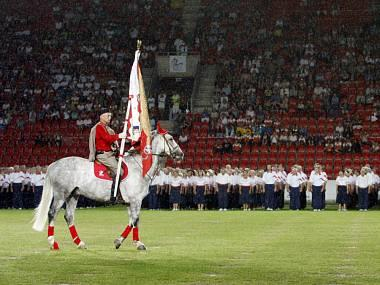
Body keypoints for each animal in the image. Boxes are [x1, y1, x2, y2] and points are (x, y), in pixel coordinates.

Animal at [31, 132, 183, 250]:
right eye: (170, 139)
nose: (181, 154)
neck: (139, 167)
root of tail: (54, 164)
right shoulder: (136, 200)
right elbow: (135, 219)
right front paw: (135, 243)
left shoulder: (130, 202)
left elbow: (132, 221)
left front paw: (122, 242)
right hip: (61, 195)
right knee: (52, 213)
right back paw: (53, 243)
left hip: (73, 195)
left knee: (69, 216)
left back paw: (79, 243)